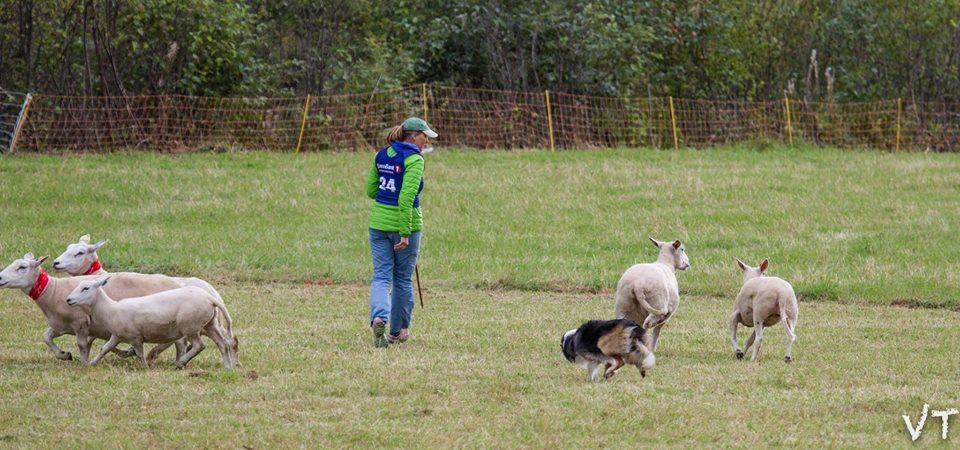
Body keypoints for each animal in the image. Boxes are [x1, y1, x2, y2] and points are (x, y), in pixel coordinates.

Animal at [66, 278, 236, 370]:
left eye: (85, 288)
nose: (68, 300)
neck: (110, 308)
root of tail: (210, 298)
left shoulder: (135, 337)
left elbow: (140, 353)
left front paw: (145, 367)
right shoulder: (117, 335)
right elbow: (105, 349)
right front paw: (92, 363)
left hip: (191, 326)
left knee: (199, 346)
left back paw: (180, 363)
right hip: (210, 324)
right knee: (223, 344)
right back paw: (228, 367)